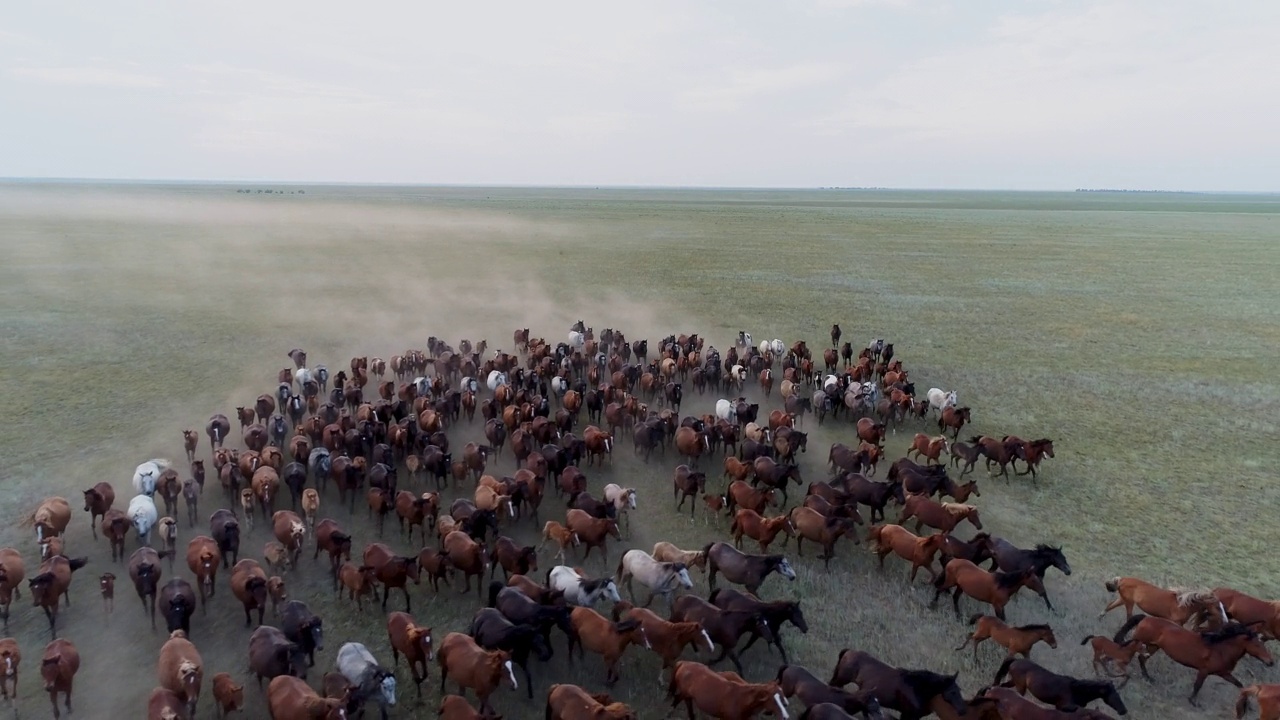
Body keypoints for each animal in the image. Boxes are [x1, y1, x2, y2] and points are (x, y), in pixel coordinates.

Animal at [829, 645, 967, 717]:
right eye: (953, 691)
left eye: (959, 690)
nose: (962, 711)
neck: (915, 687)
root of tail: (849, 651)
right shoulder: (907, 715)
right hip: (841, 680)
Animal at [993, 655, 1126, 712]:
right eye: (1115, 694)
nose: (1124, 710)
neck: (1076, 690)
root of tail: (1015, 660)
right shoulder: (1063, 705)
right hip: (1020, 687)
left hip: (1013, 682)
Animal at [1116, 609, 1274, 707]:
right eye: (1258, 645)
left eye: (1263, 645)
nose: (1271, 662)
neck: (1221, 649)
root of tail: (1146, 618)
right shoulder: (1204, 671)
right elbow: (1198, 685)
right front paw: (1193, 701)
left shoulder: (1224, 673)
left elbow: (1239, 684)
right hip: (1140, 641)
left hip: (1153, 646)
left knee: (1142, 659)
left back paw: (1148, 678)